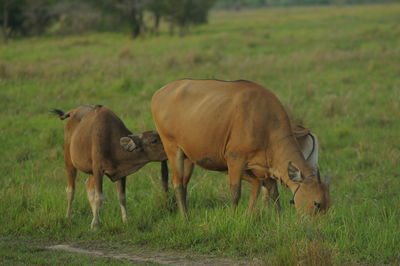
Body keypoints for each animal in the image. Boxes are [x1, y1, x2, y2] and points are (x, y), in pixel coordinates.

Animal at [151, 79, 332, 216]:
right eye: (316, 203)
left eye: (328, 204)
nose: (318, 227)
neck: (264, 120)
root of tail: (158, 93)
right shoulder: (235, 160)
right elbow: (235, 193)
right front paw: (232, 217)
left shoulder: (265, 169)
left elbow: (273, 193)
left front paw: (278, 217)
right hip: (173, 150)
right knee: (177, 183)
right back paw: (185, 218)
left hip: (189, 157)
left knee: (184, 184)